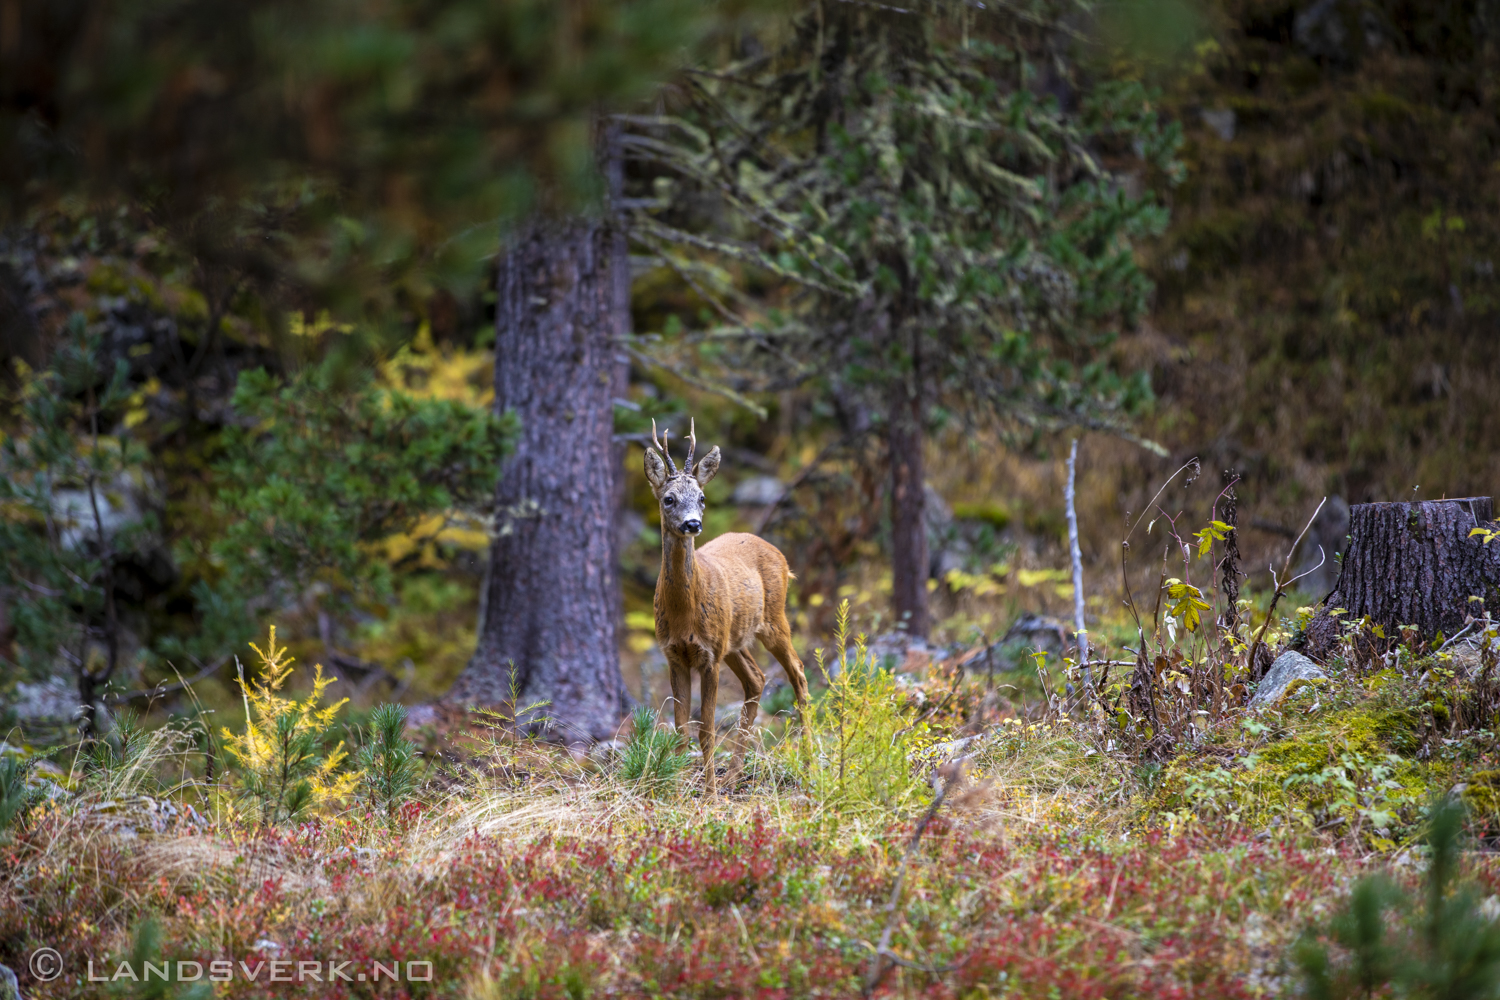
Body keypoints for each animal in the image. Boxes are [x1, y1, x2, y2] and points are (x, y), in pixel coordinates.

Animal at [645, 419, 810, 791]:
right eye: (668, 498)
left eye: (702, 497)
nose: (692, 523)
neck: (684, 613)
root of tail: (780, 555)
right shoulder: (674, 654)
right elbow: (680, 731)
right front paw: (677, 790)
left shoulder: (709, 657)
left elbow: (705, 731)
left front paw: (709, 794)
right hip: (733, 640)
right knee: (757, 679)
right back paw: (734, 774)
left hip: (774, 620)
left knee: (798, 671)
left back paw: (810, 759)